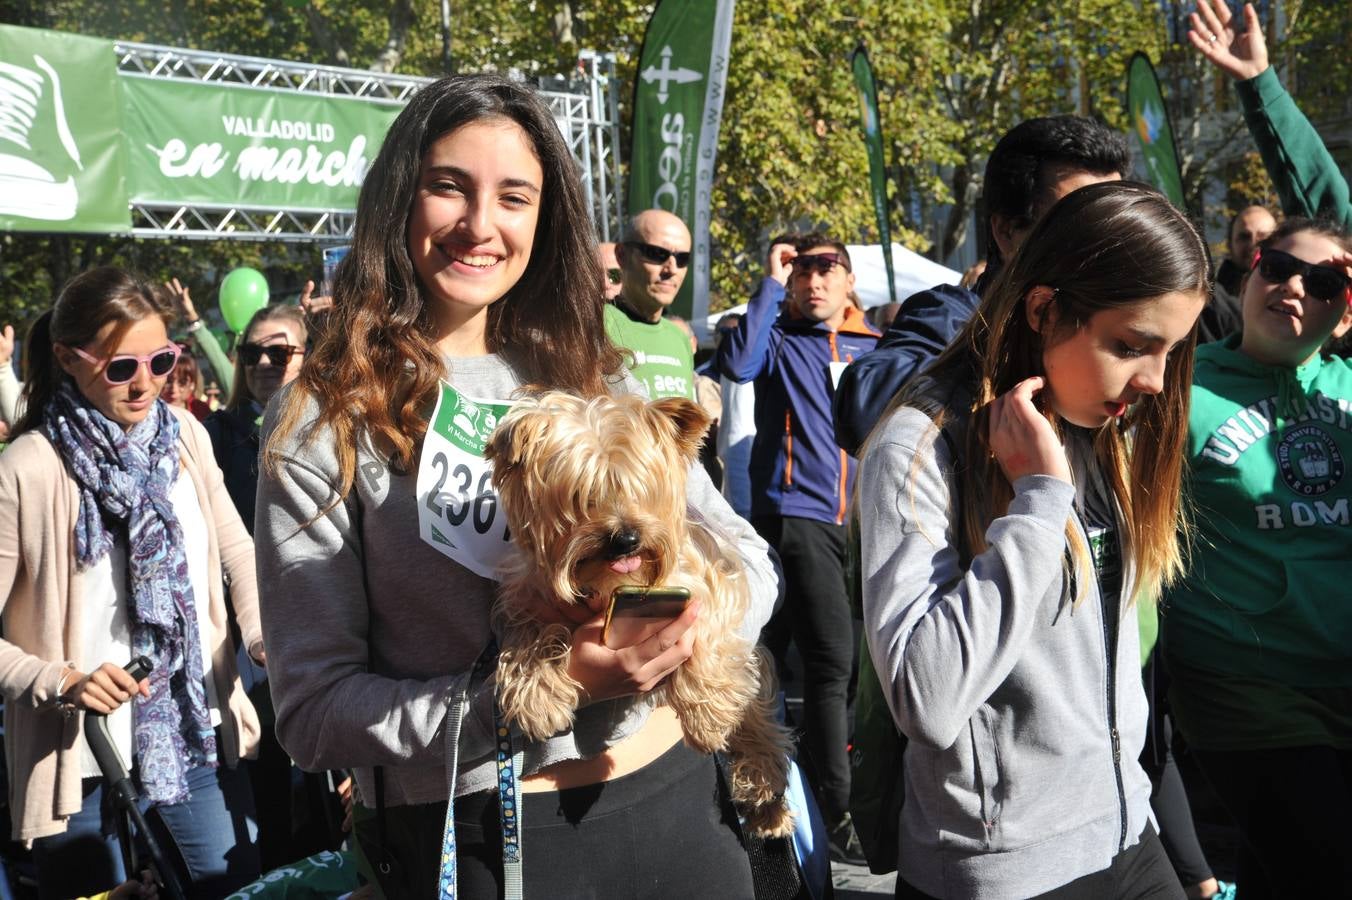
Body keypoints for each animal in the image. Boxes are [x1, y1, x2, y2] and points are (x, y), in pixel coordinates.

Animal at [486, 391, 789, 832]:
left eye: (641, 490)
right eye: (582, 498)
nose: (626, 538)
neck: (606, 586)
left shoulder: (709, 578)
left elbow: (708, 633)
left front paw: (706, 717)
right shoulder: (529, 596)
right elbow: (530, 638)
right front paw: (536, 696)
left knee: (759, 722)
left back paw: (764, 791)